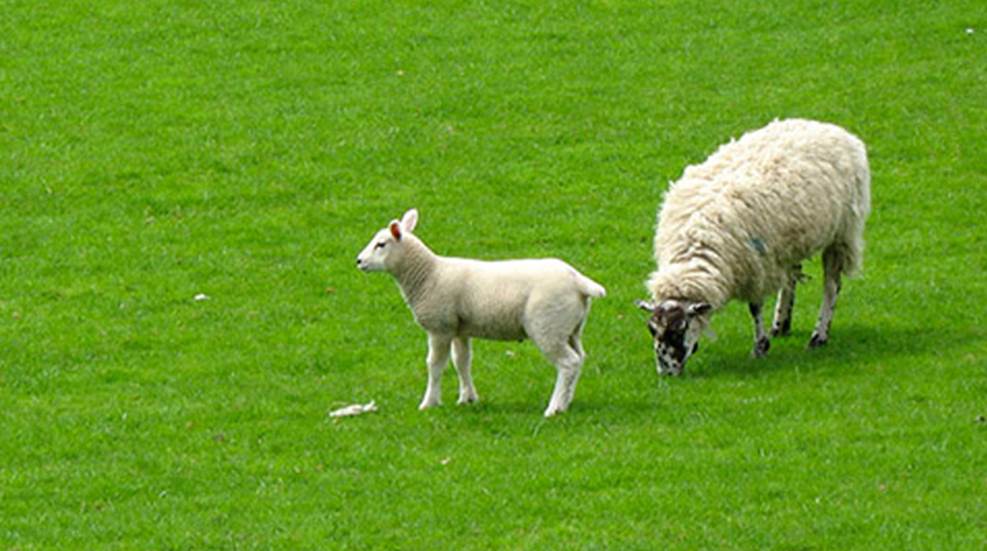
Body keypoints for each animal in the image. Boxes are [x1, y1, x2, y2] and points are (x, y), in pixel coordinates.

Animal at [356, 208, 606, 417]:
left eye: (381, 244)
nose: (358, 261)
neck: (428, 274)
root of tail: (578, 281)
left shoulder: (440, 327)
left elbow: (435, 365)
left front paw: (429, 402)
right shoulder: (459, 328)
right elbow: (462, 361)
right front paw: (467, 398)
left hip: (547, 326)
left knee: (568, 363)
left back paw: (554, 408)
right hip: (570, 328)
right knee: (579, 358)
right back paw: (566, 401)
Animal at [637, 118, 871, 376]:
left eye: (679, 329)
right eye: (651, 329)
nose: (666, 373)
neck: (697, 244)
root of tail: (831, 127)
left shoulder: (755, 265)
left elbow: (755, 307)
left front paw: (760, 347)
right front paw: (767, 338)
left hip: (841, 233)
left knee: (831, 285)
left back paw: (819, 335)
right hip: (789, 242)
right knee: (790, 278)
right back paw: (781, 324)